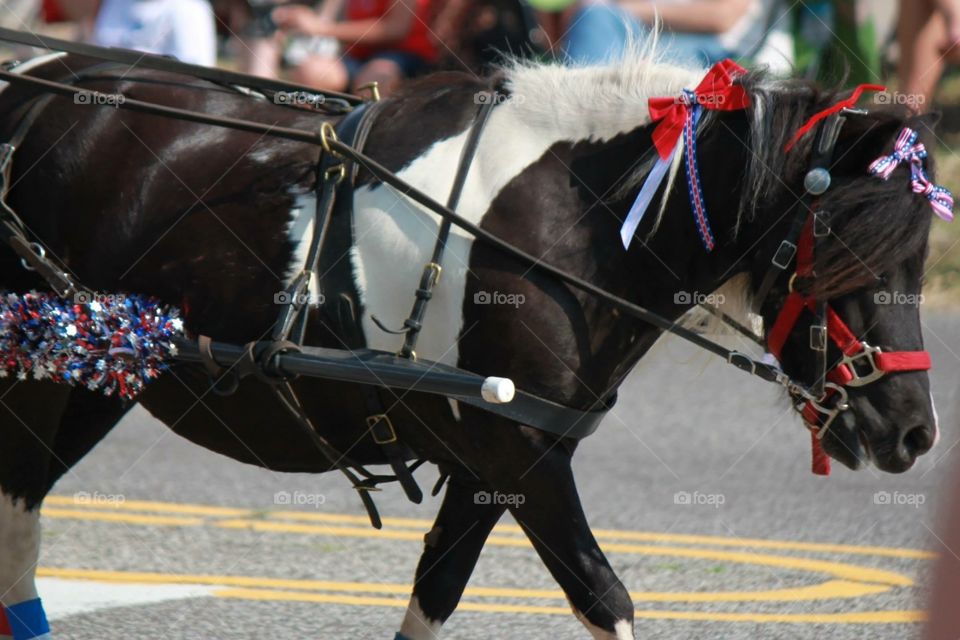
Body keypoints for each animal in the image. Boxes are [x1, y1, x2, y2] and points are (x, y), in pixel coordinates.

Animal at [0, 51, 944, 640]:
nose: (914, 430)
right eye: (844, 247)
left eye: (918, 258)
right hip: (38, 374)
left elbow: (437, 595)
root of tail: (35, 89)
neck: (568, 225)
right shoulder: (519, 453)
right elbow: (606, 598)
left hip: (97, 374)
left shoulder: (496, 461)